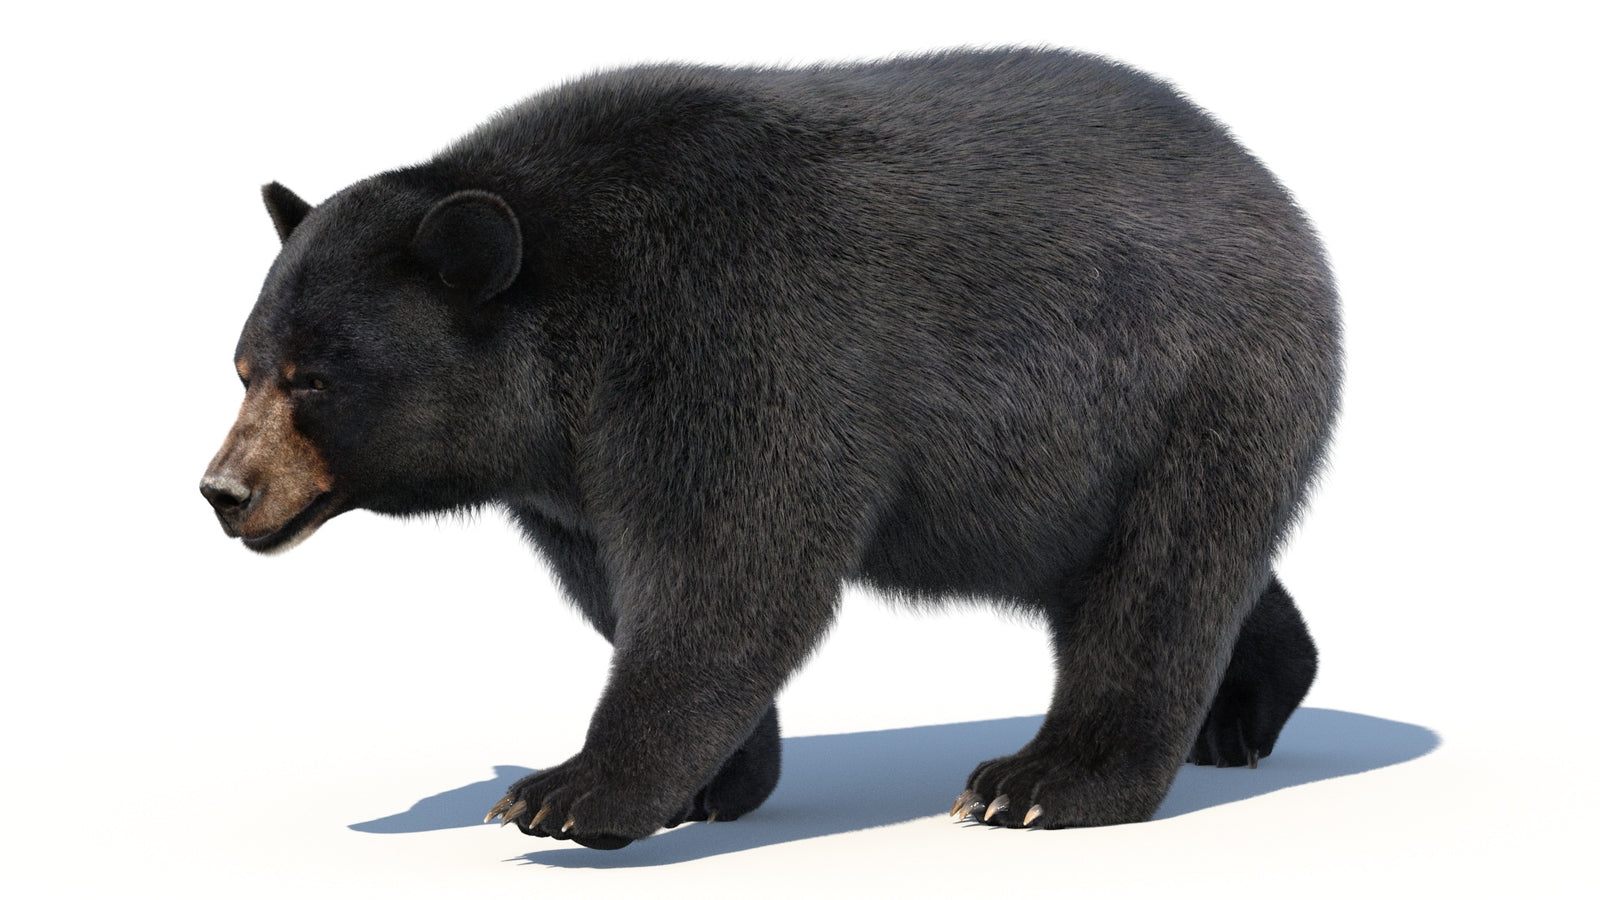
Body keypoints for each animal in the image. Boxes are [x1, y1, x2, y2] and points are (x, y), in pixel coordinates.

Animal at [201, 47, 1338, 850]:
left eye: (314, 379)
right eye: (245, 366)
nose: (224, 490)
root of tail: (1268, 188)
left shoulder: (726, 337)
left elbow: (730, 569)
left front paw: (567, 792)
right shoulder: (568, 476)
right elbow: (627, 590)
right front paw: (712, 783)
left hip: (1187, 386)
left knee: (1159, 580)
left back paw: (1043, 783)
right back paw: (1241, 715)